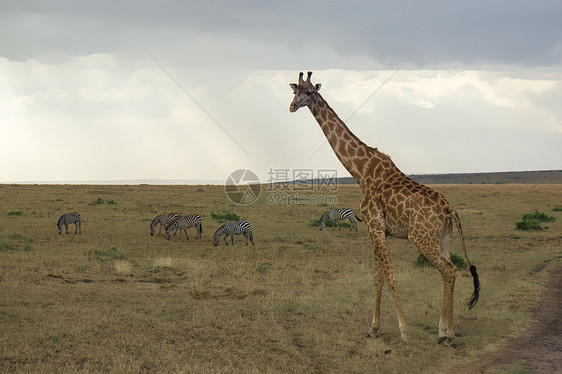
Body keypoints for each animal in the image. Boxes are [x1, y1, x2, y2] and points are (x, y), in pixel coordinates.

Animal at [288, 71, 476, 344]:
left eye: (310, 92)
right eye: (295, 92)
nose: (292, 106)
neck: (360, 171)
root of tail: (450, 210)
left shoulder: (375, 227)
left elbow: (389, 276)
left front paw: (404, 331)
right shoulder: (377, 230)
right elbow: (377, 277)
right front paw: (373, 328)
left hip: (420, 237)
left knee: (449, 270)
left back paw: (447, 334)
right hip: (444, 237)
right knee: (448, 271)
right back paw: (443, 331)